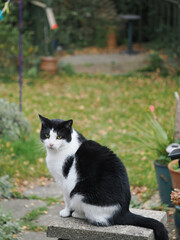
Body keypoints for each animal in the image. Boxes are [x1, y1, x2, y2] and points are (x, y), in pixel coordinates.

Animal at [39, 115, 169, 239]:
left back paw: (78, 214)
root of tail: (123, 211)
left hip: (79, 194)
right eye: (47, 135)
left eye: (59, 137)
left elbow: (66, 200)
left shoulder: (64, 182)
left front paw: (66, 212)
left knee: (95, 218)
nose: (51, 144)